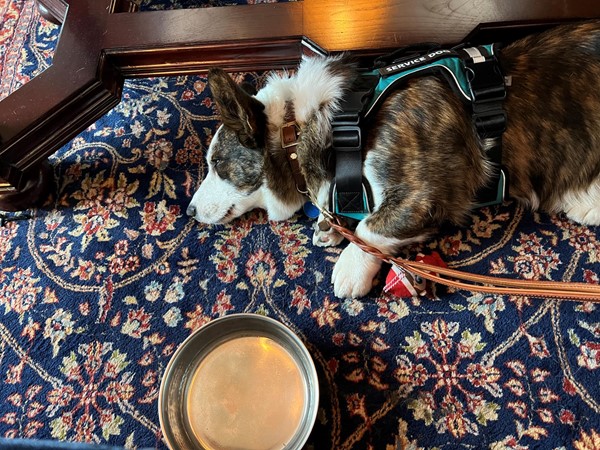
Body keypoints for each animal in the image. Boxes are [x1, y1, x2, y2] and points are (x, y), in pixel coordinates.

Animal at [186, 22, 600, 300]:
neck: (301, 126)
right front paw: (328, 226)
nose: (188, 211)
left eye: (218, 164)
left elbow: (371, 228)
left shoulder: (422, 196)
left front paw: (350, 267)